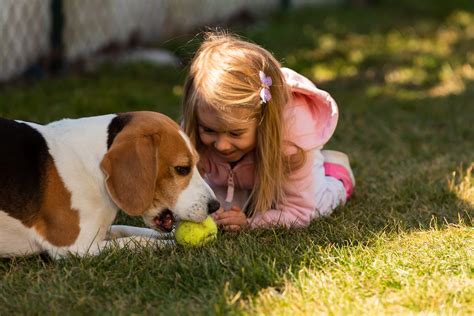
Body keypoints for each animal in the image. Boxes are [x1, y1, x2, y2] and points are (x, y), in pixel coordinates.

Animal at [0, 112, 218, 258]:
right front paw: (174, 243)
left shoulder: (102, 230)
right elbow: (137, 241)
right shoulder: (76, 247)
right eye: (182, 169)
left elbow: (130, 230)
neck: (95, 165)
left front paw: (171, 235)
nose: (215, 206)